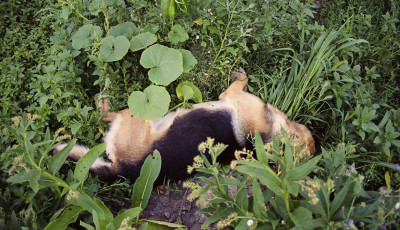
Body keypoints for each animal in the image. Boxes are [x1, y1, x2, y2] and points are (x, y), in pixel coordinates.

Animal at [54, 67, 316, 182]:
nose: (316, 145)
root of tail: (122, 170)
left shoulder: (229, 95)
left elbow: (242, 80)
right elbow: (245, 78)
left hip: (136, 116)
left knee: (105, 112)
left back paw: (104, 83)